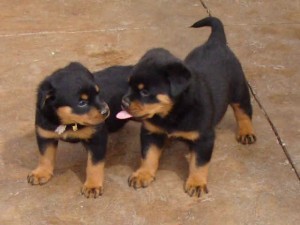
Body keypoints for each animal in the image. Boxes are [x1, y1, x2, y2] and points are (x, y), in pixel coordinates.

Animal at [27, 62, 131, 198]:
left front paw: (92, 186)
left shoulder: (97, 138)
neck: (68, 123)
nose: (106, 111)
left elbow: (94, 165)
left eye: (98, 93)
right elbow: (45, 156)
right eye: (81, 102)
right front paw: (41, 173)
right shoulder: (45, 134)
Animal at [117, 16, 255, 197]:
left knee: (243, 111)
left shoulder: (204, 138)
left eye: (145, 92)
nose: (124, 102)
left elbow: (199, 163)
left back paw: (246, 132)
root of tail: (215, 42)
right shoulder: (151, 131)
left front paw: (196, 183)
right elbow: (148, 155)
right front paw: (143, 174)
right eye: (129, 85)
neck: (172, 113)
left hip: (239, 89)